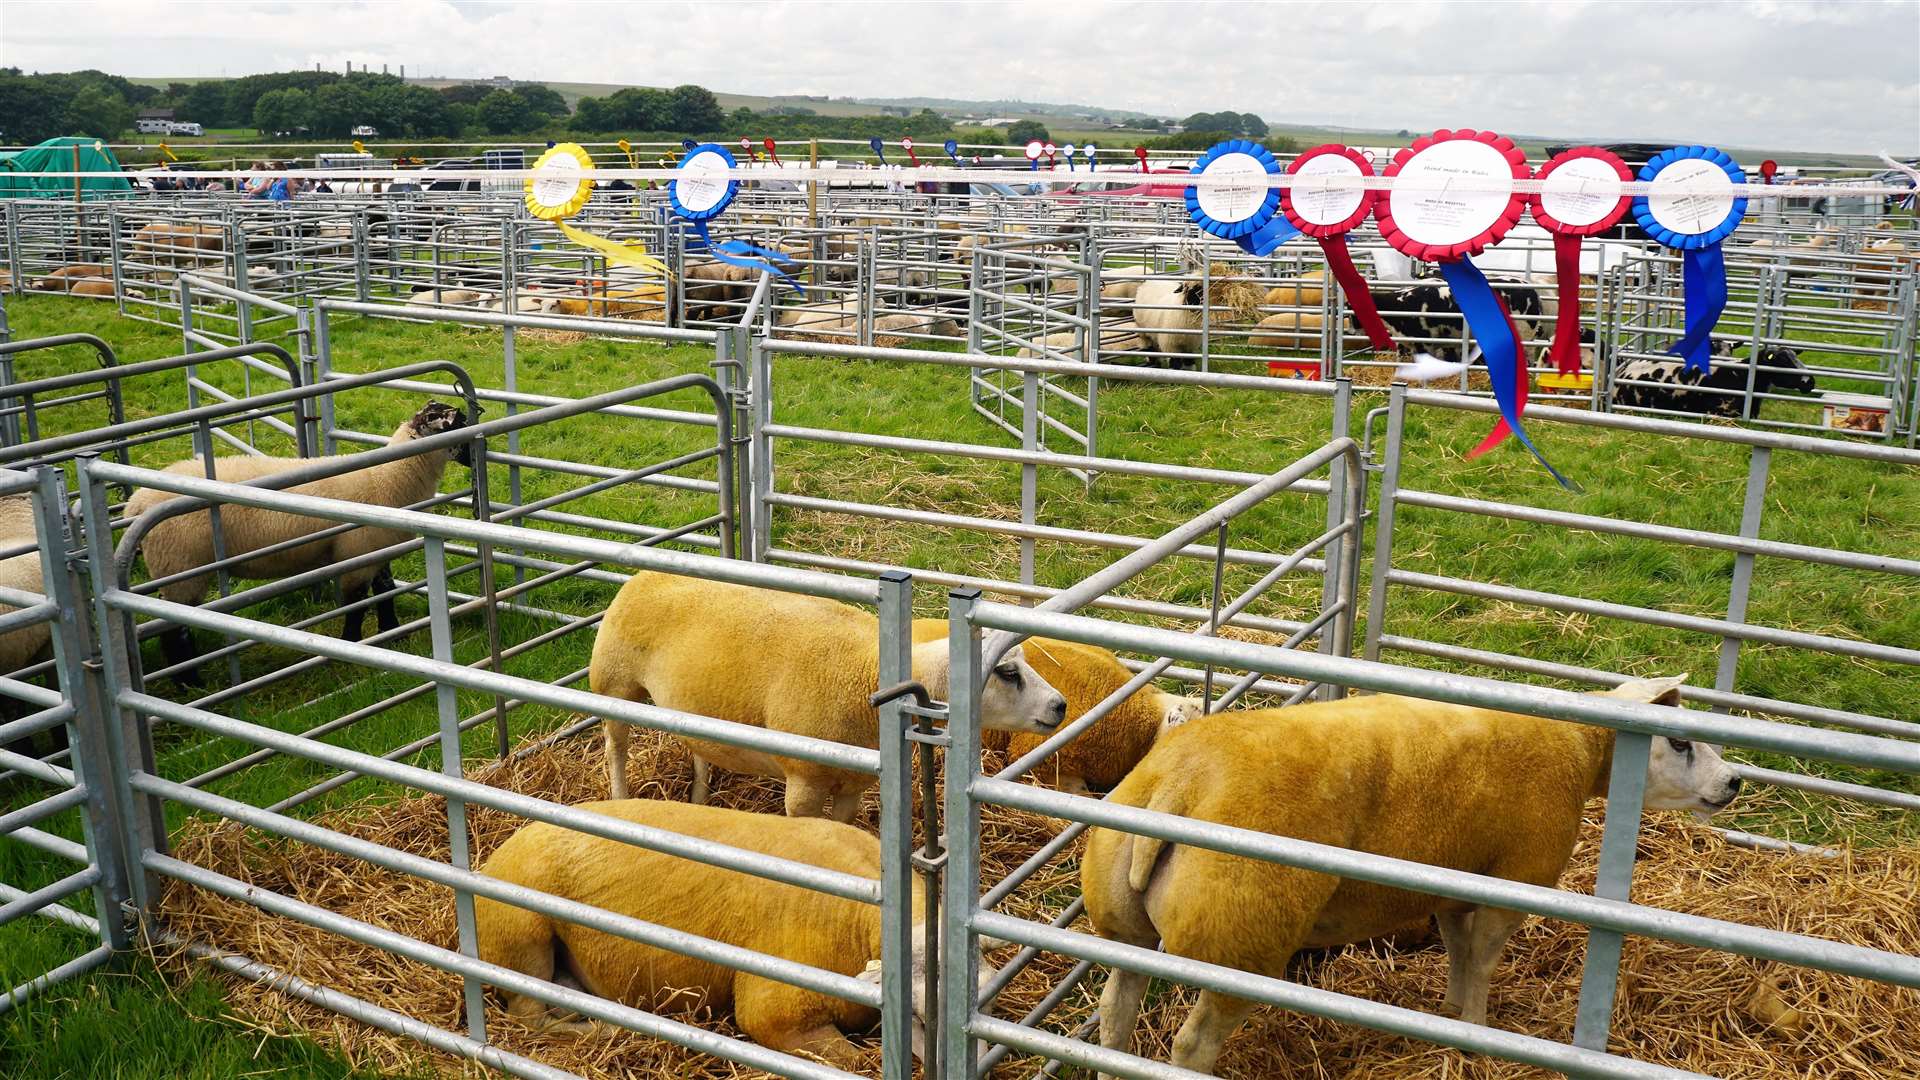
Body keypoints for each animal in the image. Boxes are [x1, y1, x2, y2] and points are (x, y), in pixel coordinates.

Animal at [476, 799, 1006, 1060]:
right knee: (529, 1017)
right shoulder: (773, 1010)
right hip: (520, 934)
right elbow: (852, 1061)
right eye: (923, 1017)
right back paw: (608, 1027)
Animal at [587, 572, 1067, 814]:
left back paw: (700, 799)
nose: (1060, 705)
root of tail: (642, 575)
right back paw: (620, 798)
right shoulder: (804, 782)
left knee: (698, 746)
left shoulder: (854, 783)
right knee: (616, 747)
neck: (865, 674)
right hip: (613, 685)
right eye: (1007, 672)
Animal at [1082, 672, 1743, 1068]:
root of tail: (1179, 784)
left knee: (1115, 1014)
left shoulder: (1455, 880)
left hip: (1123, 923)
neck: (1582, 748)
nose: (1735, 781)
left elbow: (1457, 949)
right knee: (1191, 1046)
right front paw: (1478, 1031)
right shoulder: (1516, 878)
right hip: (1240, 942)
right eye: (1680, 742)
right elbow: (1483, 961)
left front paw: (1450, 1015)